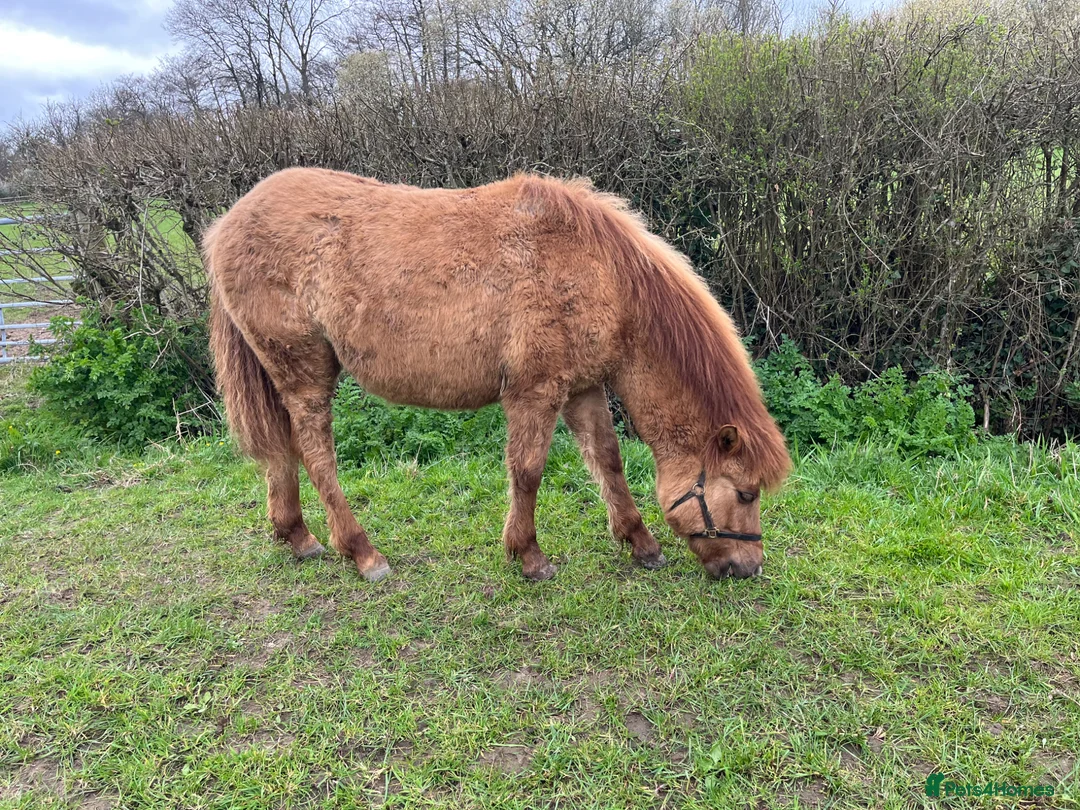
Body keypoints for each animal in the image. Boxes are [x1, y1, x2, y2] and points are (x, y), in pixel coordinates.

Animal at [205, 168, 791, 582]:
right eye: (745, 493)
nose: (749, 569)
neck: (599, 272)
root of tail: (227, 225)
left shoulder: (582, 389)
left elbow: (608, 461)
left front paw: (639, 542)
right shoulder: (535, 393)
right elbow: (528, 472)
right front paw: (528, 556)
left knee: (282, 448)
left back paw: (296, 535)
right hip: (305, 371)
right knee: (315, 454)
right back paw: (362, 552)